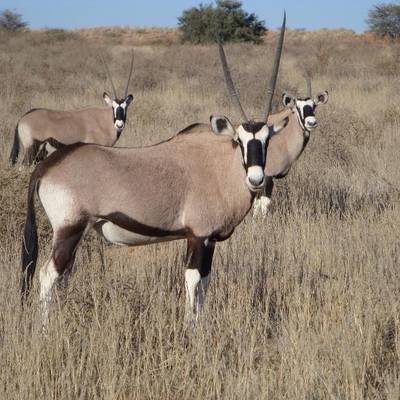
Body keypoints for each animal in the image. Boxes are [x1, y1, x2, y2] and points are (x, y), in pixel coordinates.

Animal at [21, 15, 288, 325]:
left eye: (267, 140)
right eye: (239, 140)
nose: (256, 179)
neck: (220, 167)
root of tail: (47, 166)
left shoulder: (209, 241)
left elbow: (205, 283)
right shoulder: (198, 236)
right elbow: (193, 280)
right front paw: (191, 327)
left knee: (60, 276)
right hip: (69, 229)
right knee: (47, 275)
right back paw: (45, 327)